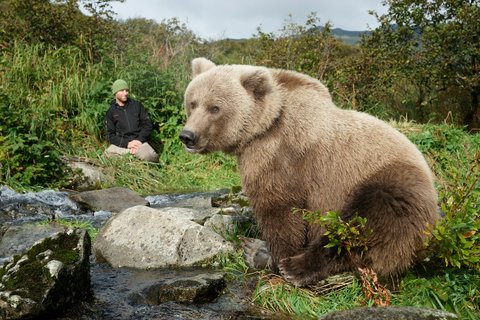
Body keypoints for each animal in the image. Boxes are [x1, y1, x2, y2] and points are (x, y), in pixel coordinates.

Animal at [179, 58, 438, 288]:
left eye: (215, 107)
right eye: (193, 102)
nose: (188, 136)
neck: (263, 127)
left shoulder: (281, 156)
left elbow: (280, 210)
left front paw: (276, 258)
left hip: (391, 185)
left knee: (365, 227)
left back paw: (296, 267)